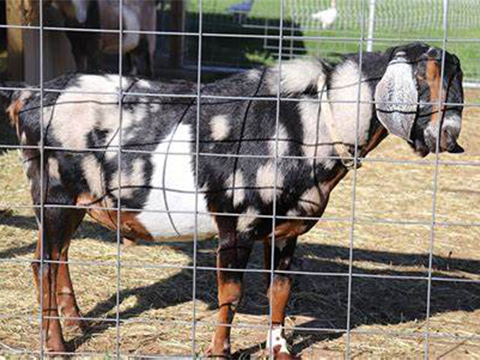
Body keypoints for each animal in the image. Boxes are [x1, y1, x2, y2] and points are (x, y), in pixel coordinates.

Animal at [0, 42, 464, 358]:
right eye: (427, 79)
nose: (450, 136)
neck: (313, 121)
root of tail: (27, 95)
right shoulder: (236, 227)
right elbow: (231, 296)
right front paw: (218, 351)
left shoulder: (285, 231)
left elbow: (281, 290)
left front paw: (279, 350)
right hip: (53, 195)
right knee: (43, 263)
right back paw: (57, 346)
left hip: (74, 203)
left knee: (57, 256)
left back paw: (77, 321)